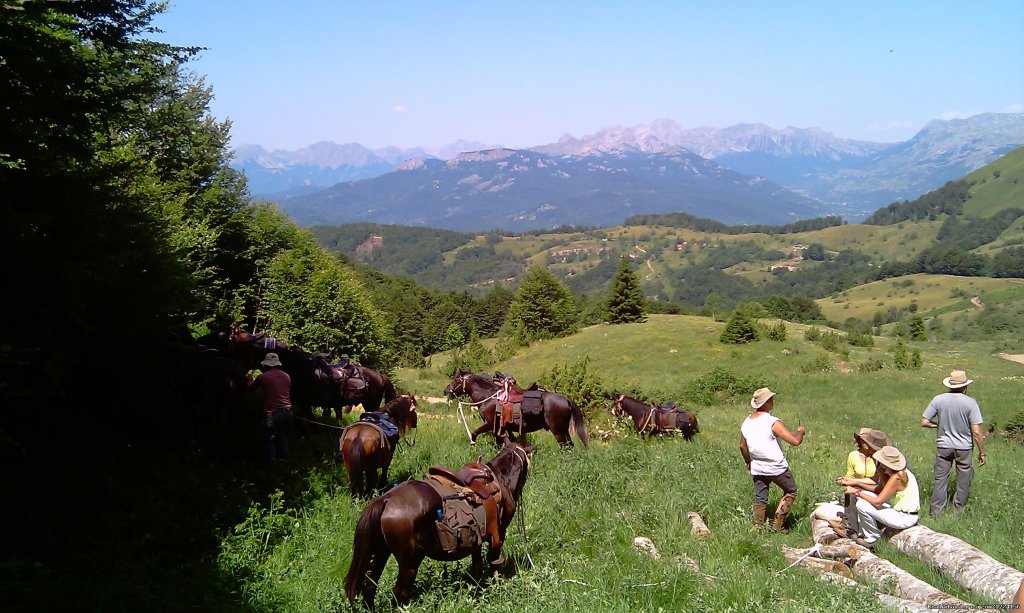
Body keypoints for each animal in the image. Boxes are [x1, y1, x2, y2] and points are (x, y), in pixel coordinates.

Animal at [344, 442, 536, 609]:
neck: (500, 480)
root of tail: (386, 499)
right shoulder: (499, 533)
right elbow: (494, 564)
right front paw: (493, 586)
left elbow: (477, 563)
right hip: (409, 563)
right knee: (400, 592)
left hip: (381, 552)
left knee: (369, 585)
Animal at [442, 368, 593, 450]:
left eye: (456, 380)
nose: (446, 390)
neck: (488, 397)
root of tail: (566, 399)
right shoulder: (500, 428)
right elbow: (502, 442)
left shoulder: (490, 424)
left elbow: (474, 433)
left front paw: (473, 446)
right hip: (564, 429)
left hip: (557, 431)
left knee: (565, 447)